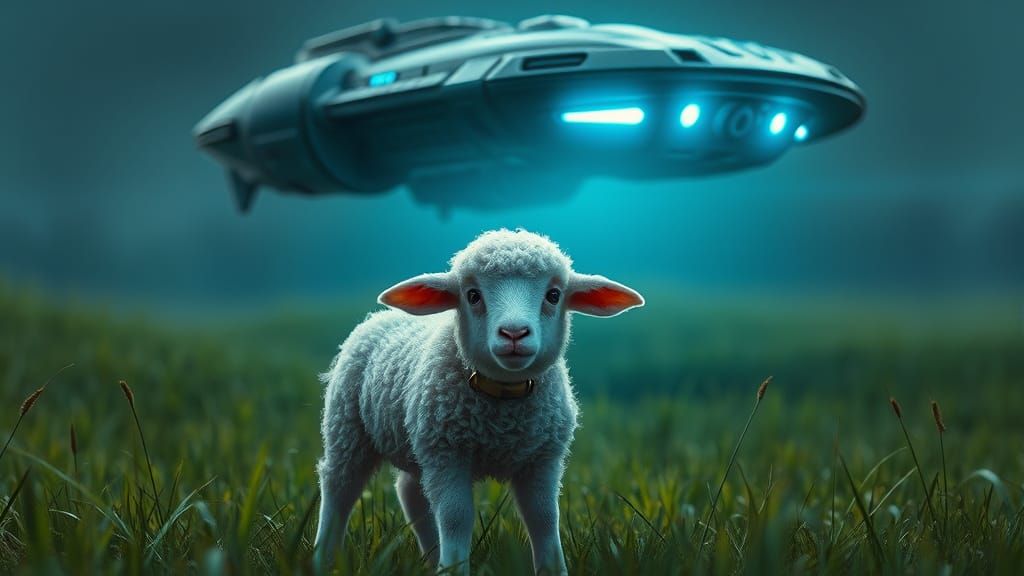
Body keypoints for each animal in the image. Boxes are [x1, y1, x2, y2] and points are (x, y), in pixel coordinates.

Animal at [313, 228, 644, 574]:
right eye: (473, 295)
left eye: (554, 295)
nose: (514, 333)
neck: (503, 405)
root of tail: (380, 316)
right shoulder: (447, 454)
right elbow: (456, 517)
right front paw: (455, 567)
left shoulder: (543, 458)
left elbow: (543, 518)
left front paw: (553, 568)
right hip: (347, 426)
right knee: (339, 487)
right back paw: (323, 558)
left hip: (416, 444)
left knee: (410, 493)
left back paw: (431, 558)